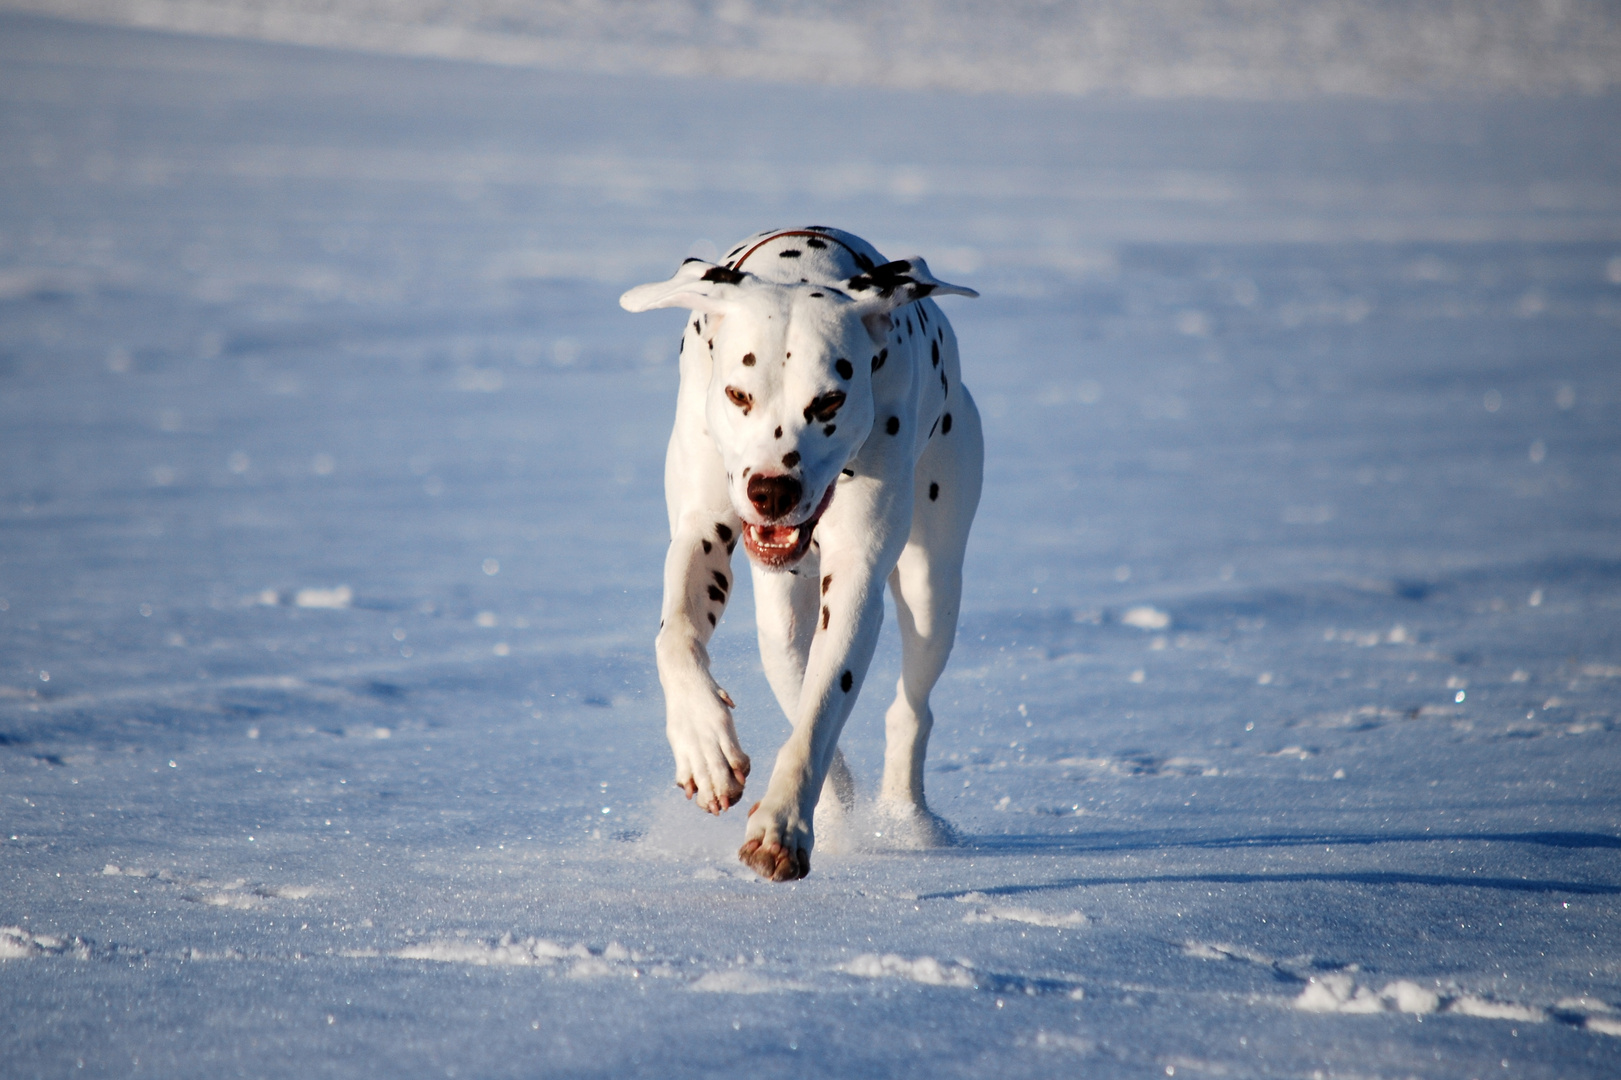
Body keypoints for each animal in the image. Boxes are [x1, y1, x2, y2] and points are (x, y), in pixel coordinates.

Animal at [615, 225, 972, 875]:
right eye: (737, 394)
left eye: (829, 401)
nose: (772, 490)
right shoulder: (702, 532)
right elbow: (675, 638)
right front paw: (705, 748)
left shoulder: (855, 577)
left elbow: (822, 708)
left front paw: (782, 824)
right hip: (780, 623)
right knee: (789, 664)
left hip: (933, 585)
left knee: (911, 706)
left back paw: (904, 818)